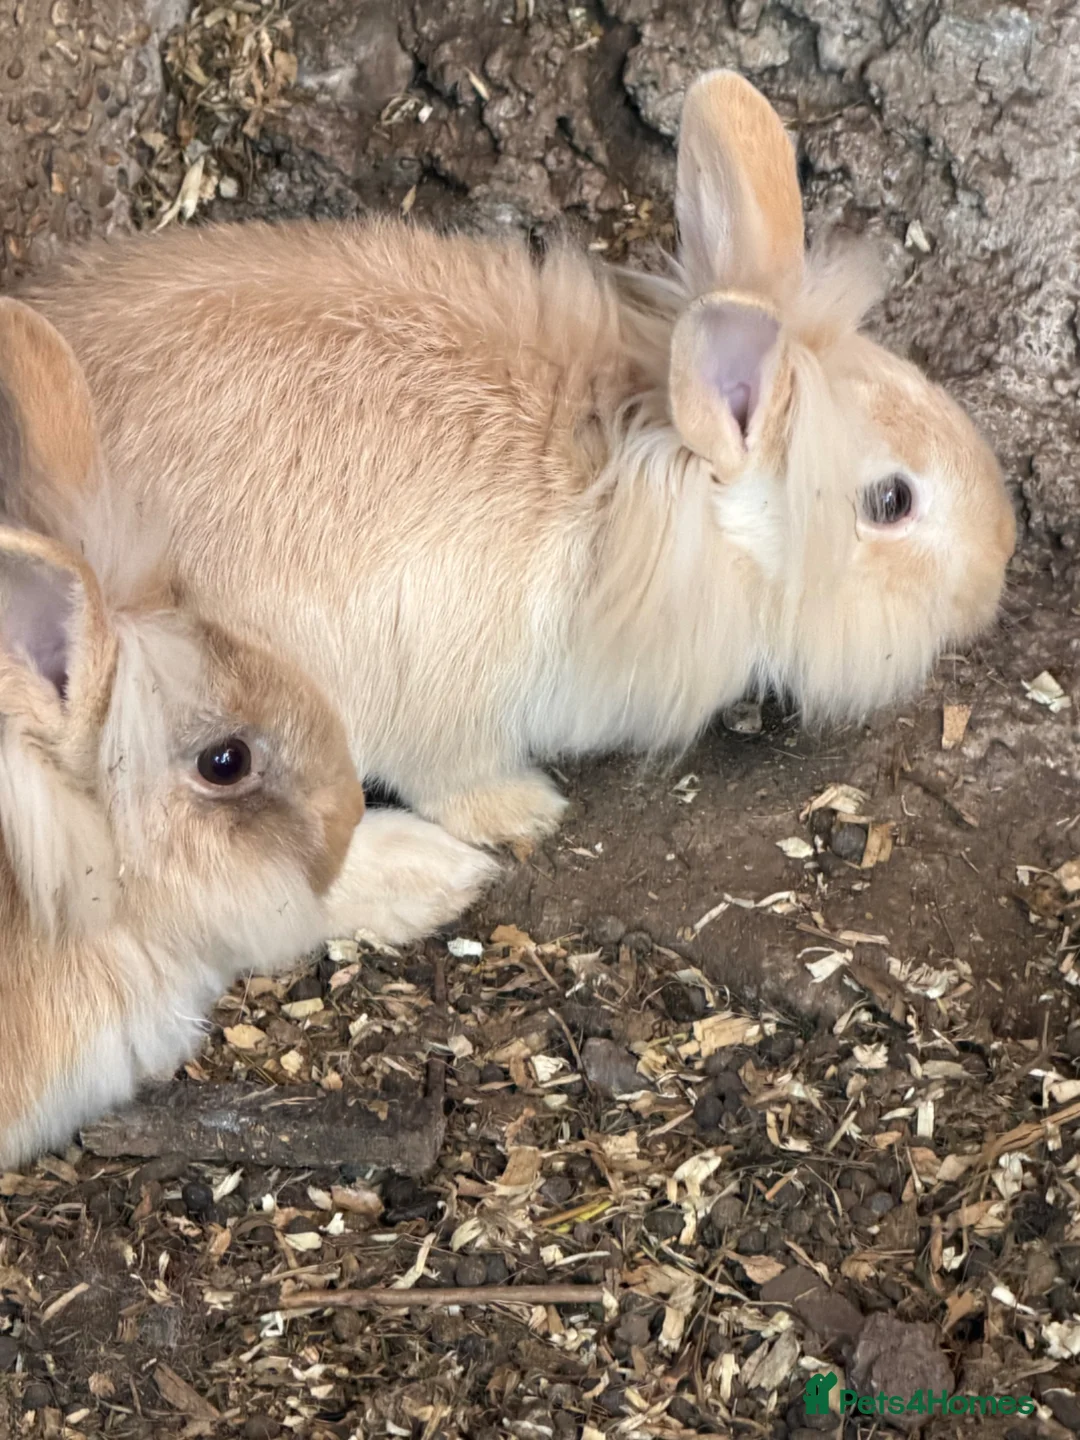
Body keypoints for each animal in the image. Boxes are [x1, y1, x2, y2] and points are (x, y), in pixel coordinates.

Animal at [21, 70, 1015, 916]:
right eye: (892, 502)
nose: (998, 569)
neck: (634, 490)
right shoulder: (442, 691)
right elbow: (452, 778)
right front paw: (523, 813)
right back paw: (429, 880)